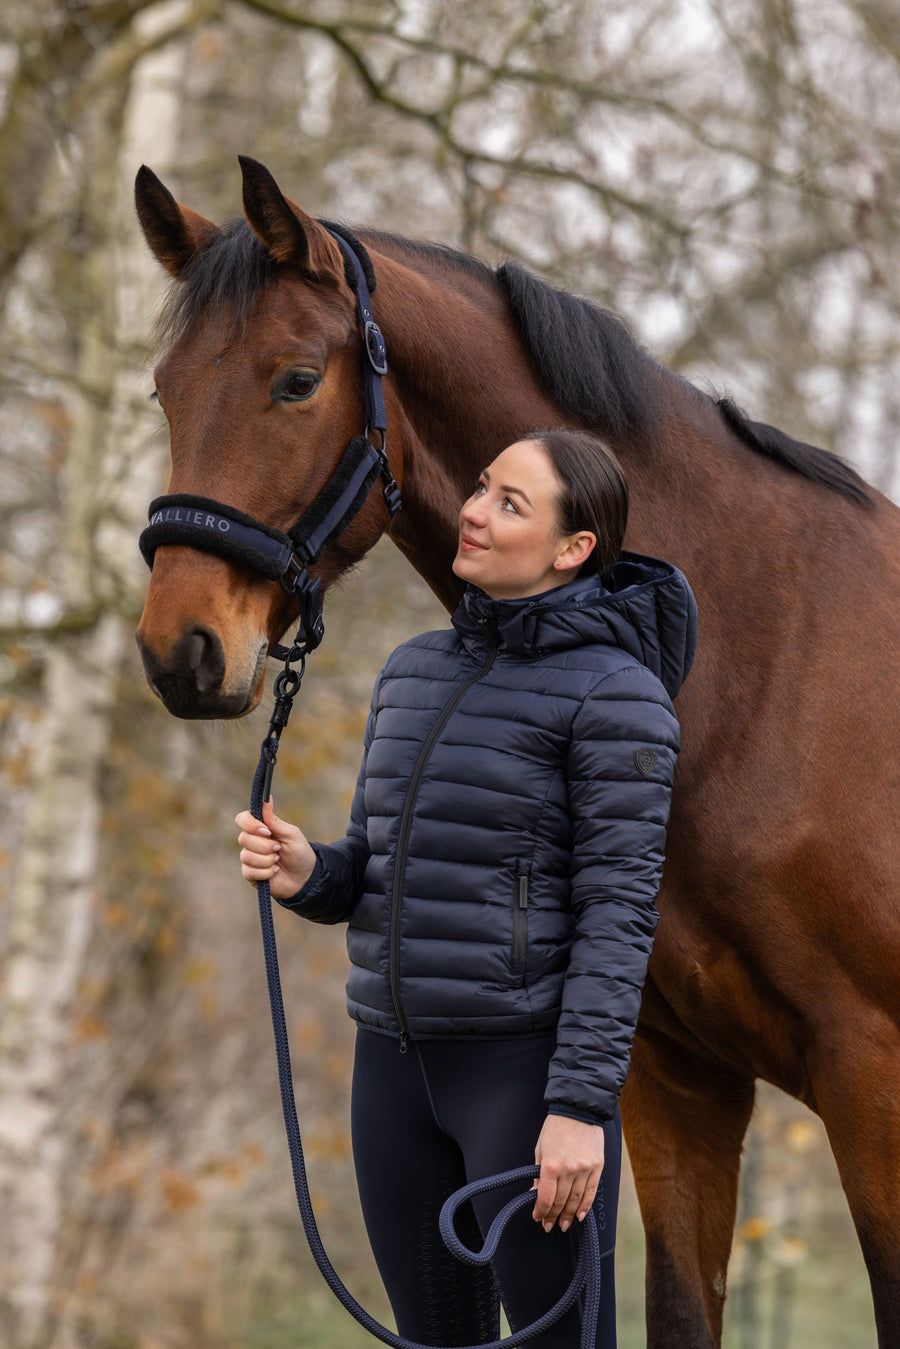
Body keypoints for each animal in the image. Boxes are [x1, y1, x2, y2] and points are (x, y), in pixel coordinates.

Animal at [133, 155, 900, 1348]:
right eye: (165, 390)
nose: (182, 649)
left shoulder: (875, 1086)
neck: (771, 664)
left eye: (296, 382)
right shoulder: (673, 1082)